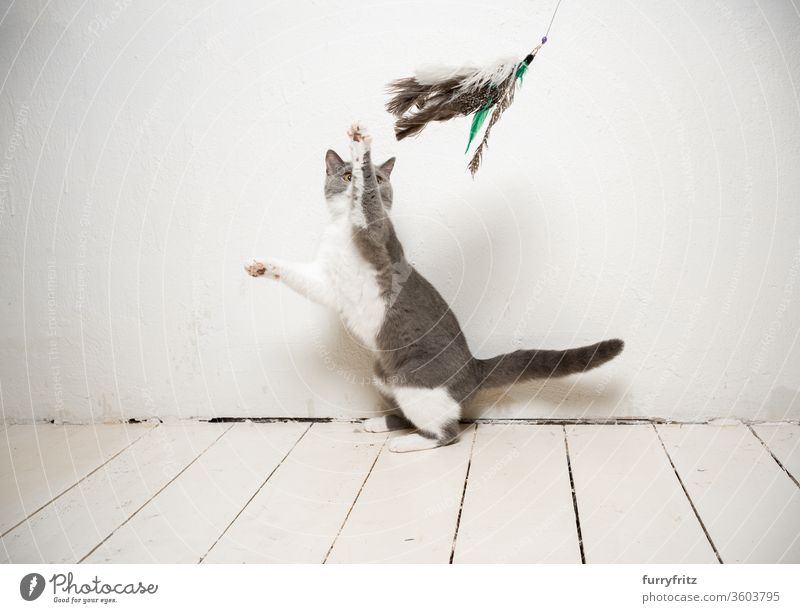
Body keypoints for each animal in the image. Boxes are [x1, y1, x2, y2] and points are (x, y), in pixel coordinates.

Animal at [245, 122, 624, 452]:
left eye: (377, 178)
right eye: (345, 176)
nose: (357, 180)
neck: (341, 230)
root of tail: (474, 367)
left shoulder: (377, 234)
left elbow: (369, 208)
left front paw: (361, 143)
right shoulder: (327, 282)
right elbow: (302, 277)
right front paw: (261, 266)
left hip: (413, 378)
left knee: (448, 432)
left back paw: (405, 443)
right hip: (383, 372)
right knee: (413, 416)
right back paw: (380, 424)